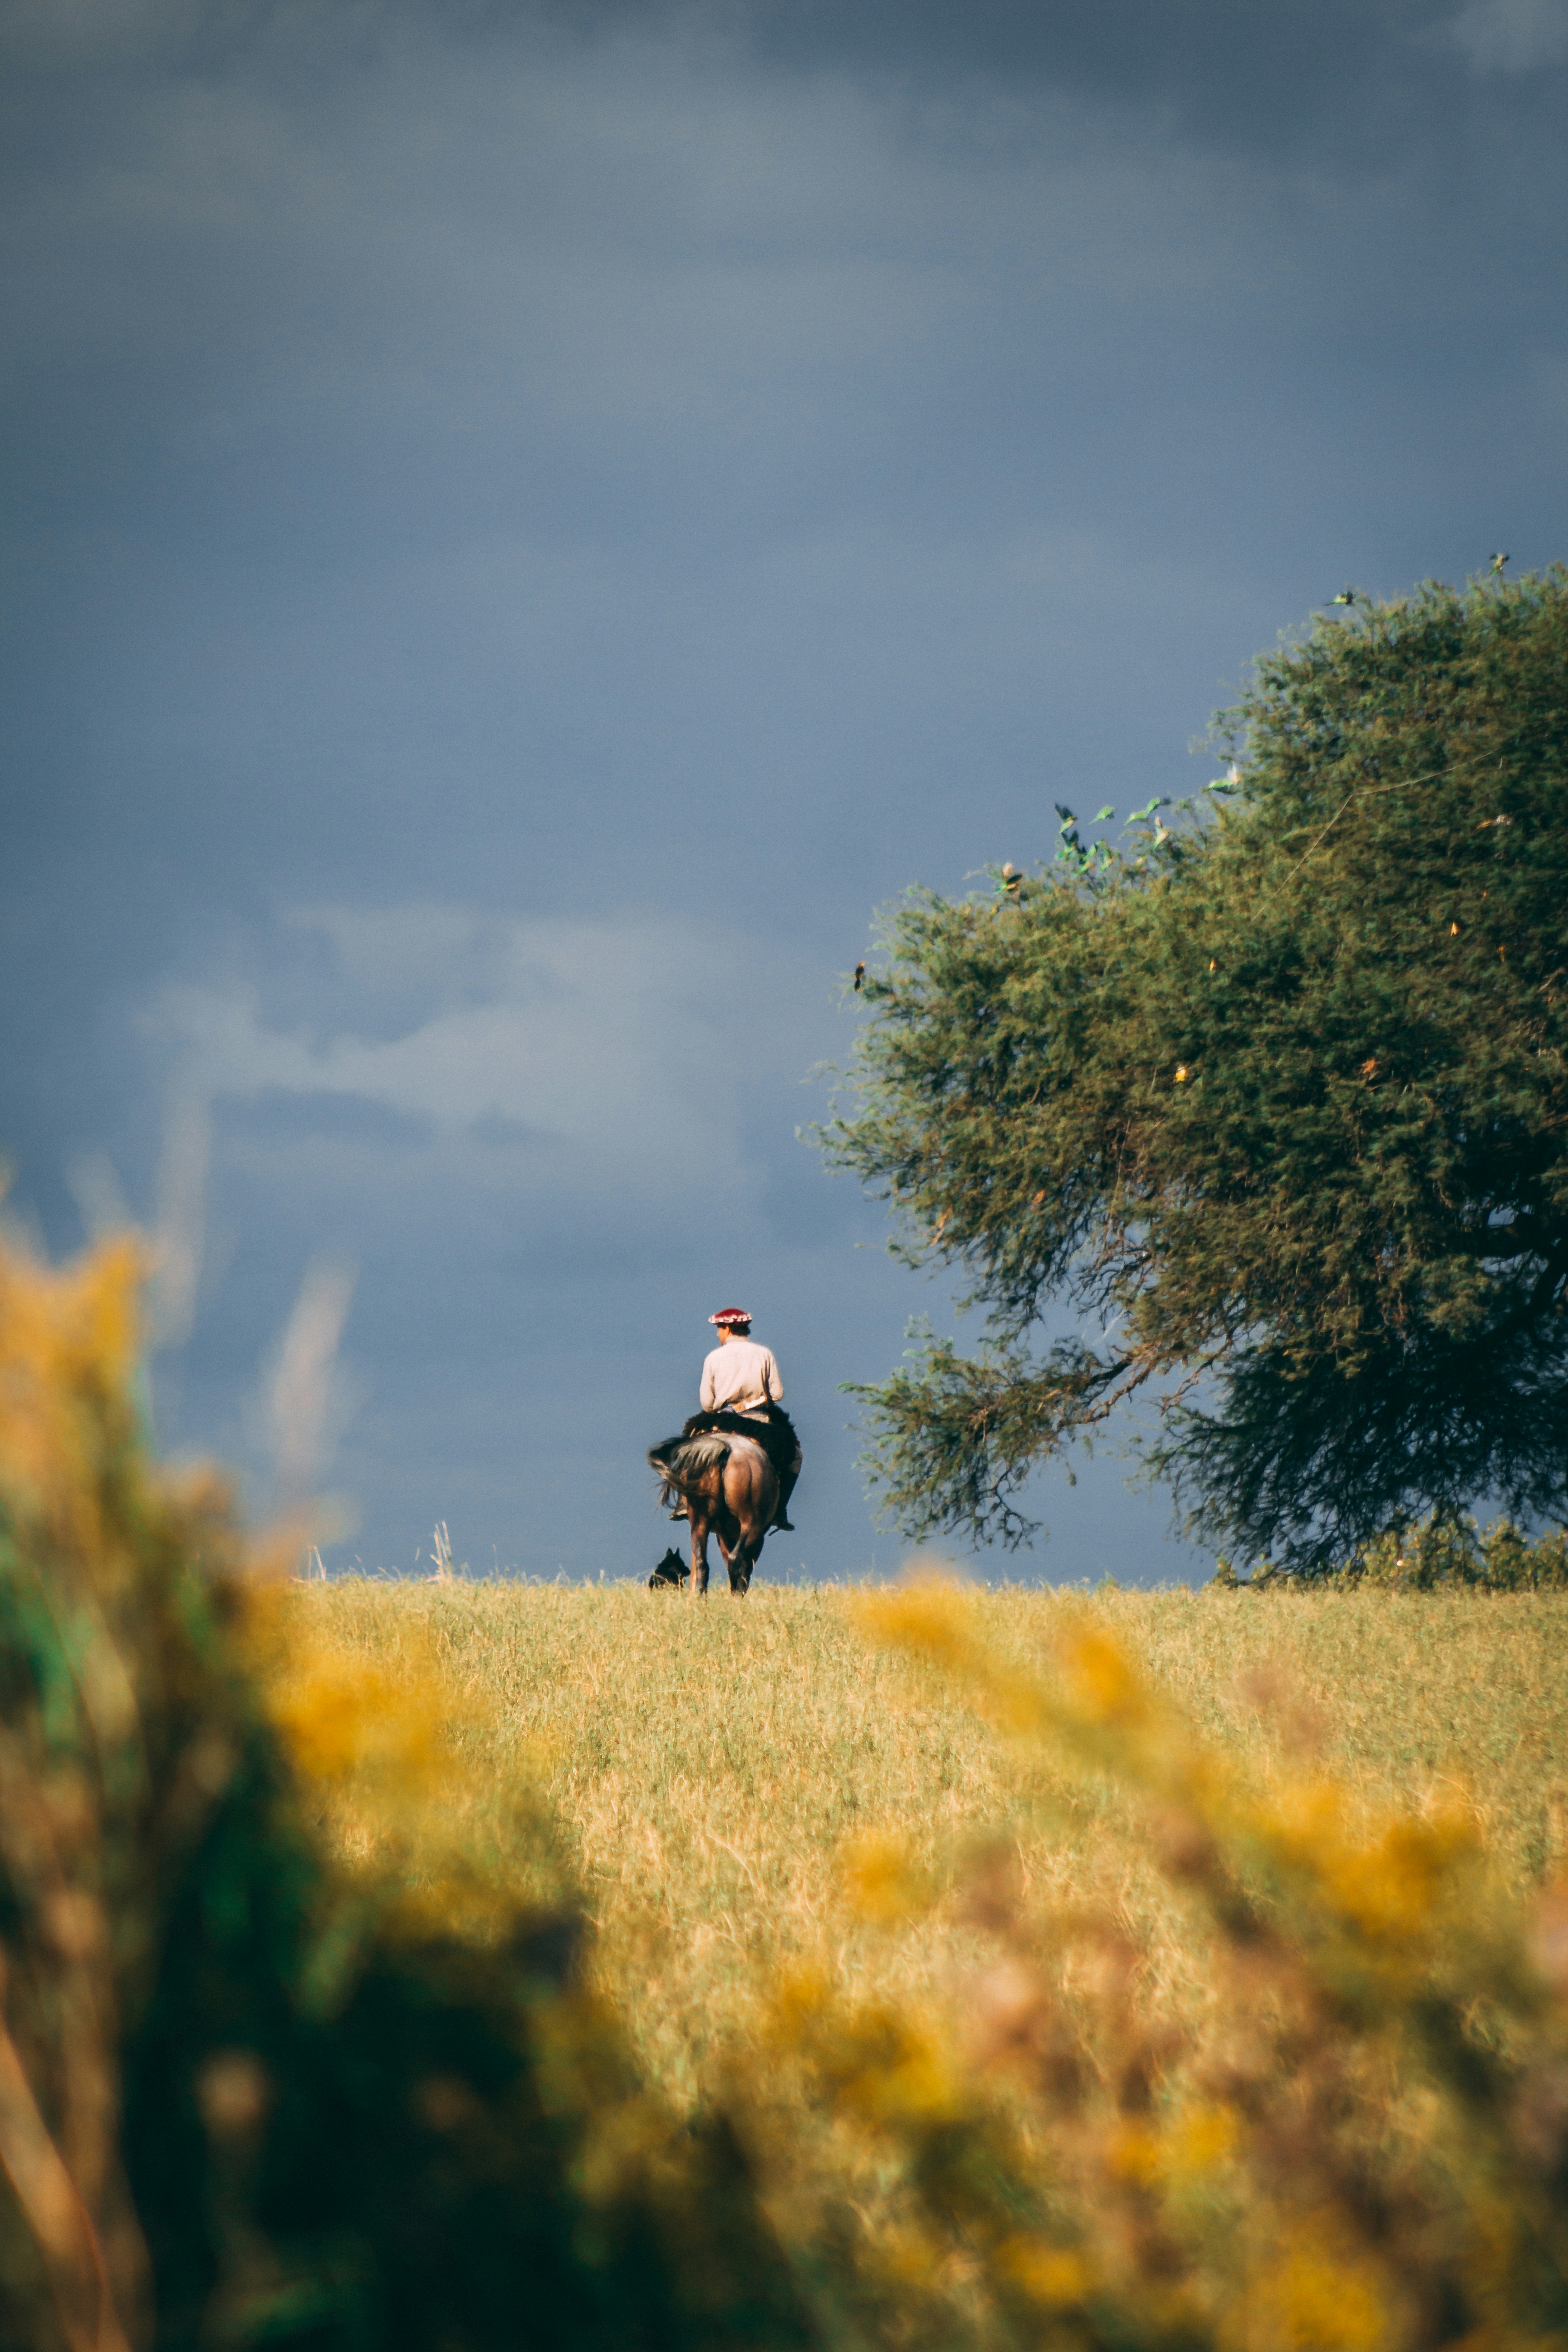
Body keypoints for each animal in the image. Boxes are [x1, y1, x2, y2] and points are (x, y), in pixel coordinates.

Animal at [646, 1428, 778, 1595]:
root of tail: (726, 1450)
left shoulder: (723, 1535)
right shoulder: (754, 1538)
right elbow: (746, 1567)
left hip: (700, 1523)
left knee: (702, 1563)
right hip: (751, 1525)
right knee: (736, 1560)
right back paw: (736, 1595)